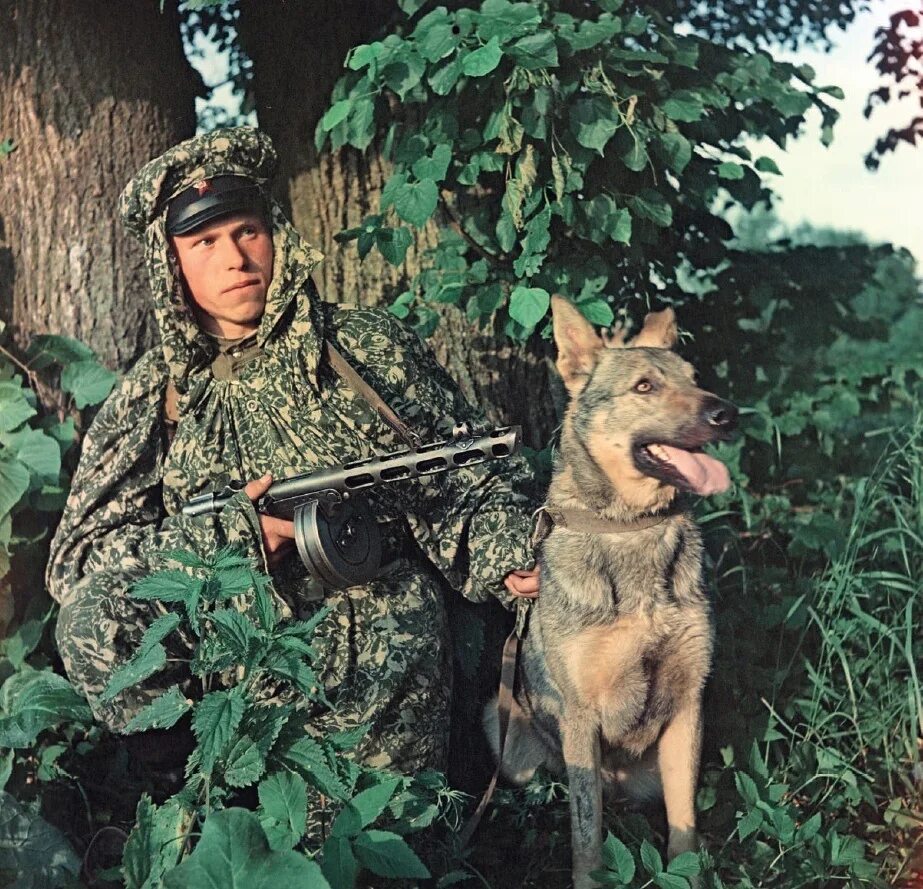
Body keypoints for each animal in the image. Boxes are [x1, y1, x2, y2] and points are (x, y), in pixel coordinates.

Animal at [484, 296, 736, 880]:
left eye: (695, 379)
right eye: (645, 386)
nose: (727, 414)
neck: (632, 530)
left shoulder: (688, 703)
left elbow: (685, 826)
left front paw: (686, 876)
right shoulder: (580, 717)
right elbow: (587, 838)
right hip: (502, 728)